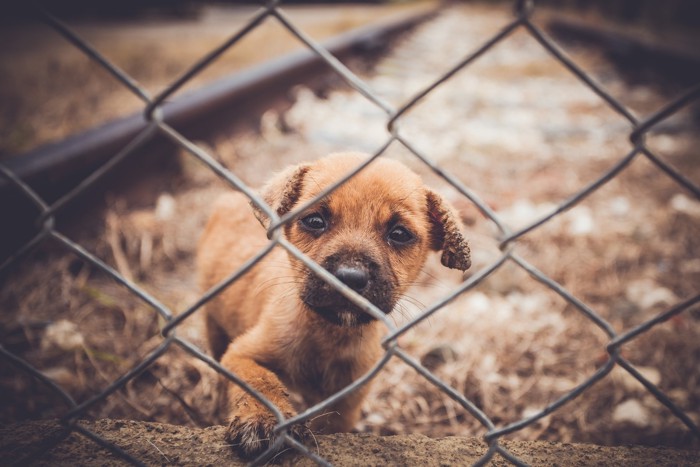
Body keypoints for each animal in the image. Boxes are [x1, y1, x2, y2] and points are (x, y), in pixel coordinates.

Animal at [197, 153, 470, 458]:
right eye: (315, 221)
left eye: (400, 234)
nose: (349, 278)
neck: (329, 335)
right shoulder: (241, 353)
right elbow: (258, 381)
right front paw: (262, 420)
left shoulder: (348, 397)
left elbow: (331, 424)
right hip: (215, 326)